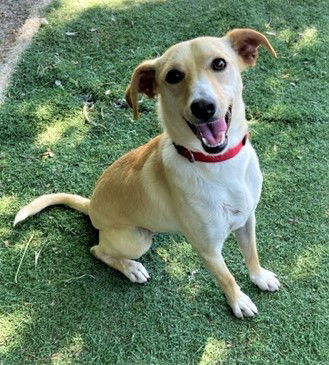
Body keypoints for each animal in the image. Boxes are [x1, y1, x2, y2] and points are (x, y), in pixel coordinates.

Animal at [14, 28, 280, 318]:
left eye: (219, 63)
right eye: (173, 76)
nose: (203, 106)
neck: (219, 164)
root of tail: (91, 204)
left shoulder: (247, 219)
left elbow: (252, 253)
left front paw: (259, 276)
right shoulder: (208, 248)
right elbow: (226, 277)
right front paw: (238, 301)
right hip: (137, 239)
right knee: (98, 249)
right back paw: (131, 268)